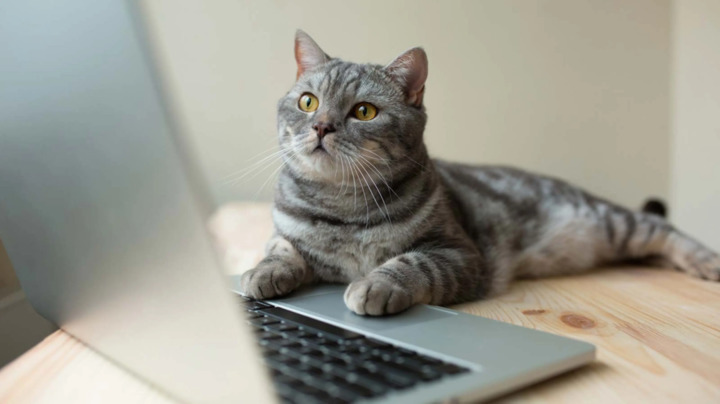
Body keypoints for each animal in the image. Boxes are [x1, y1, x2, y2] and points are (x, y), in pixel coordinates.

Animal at [238, 30, 720, 316]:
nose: (321, 126)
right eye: (308, 102)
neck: (342, 207)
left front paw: (374, 285)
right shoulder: (284, 232)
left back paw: (705, 262)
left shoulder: (459, 253)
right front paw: (262, 271)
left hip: (611, 223)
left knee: (664, 229)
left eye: (364, 111)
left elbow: (409, 263)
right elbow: (280, 248)